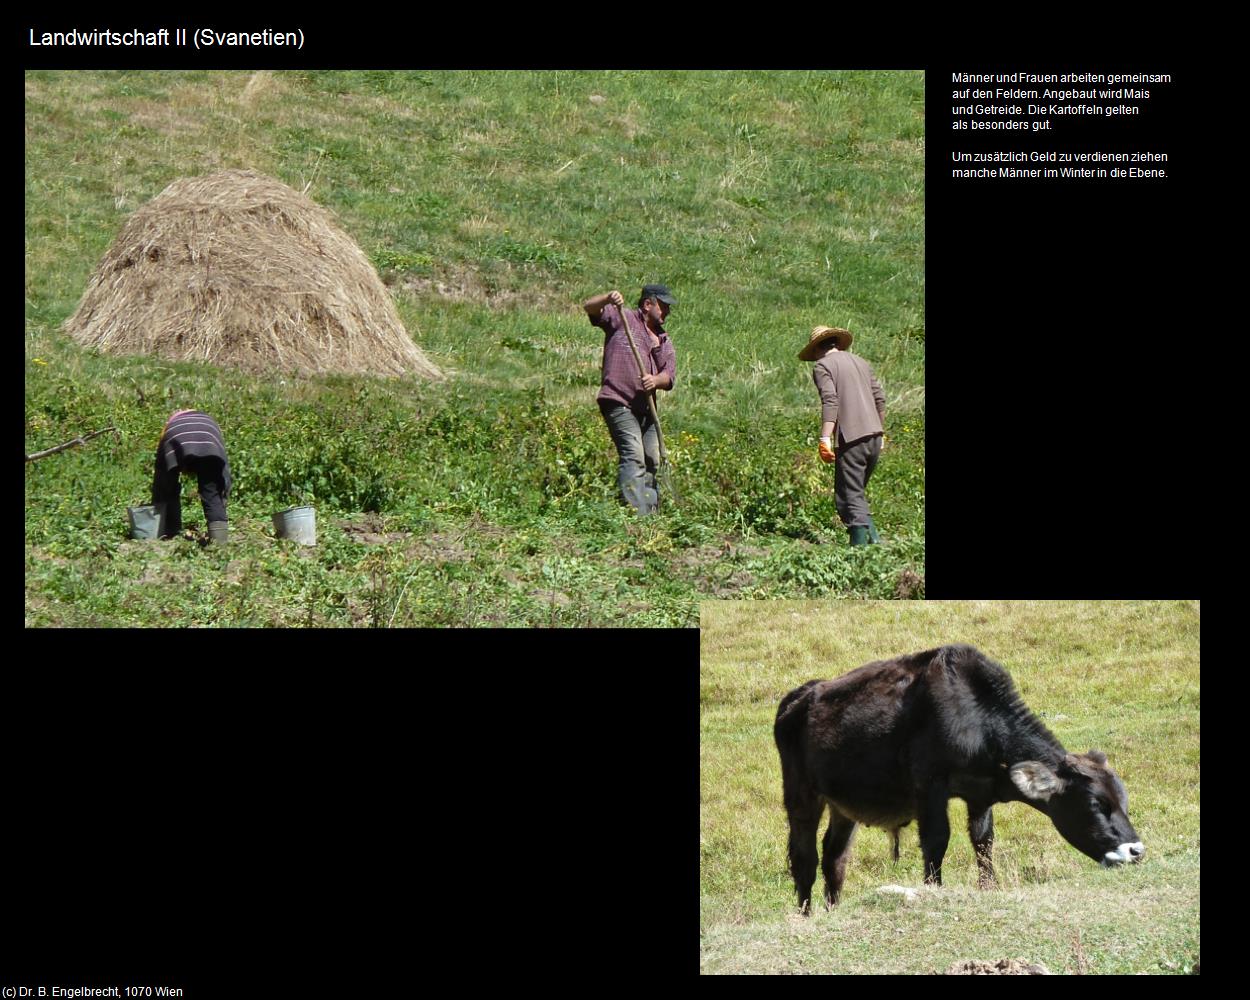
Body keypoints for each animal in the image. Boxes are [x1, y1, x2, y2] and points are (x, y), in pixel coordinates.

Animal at [775, 645, 1145, 910]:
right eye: (1095, 804)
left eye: (1123, 801)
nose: (1136, 851)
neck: (975, 719)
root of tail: (800, 695)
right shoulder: (929, 786)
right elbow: (937, 841)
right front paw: (933, 891)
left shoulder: (980, 795)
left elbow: (983, 842)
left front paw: (989, 887)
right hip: (800, 793)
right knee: (805, 857)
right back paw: (806, 915)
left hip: (844, 804)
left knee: (834, 857)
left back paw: (833, 911)